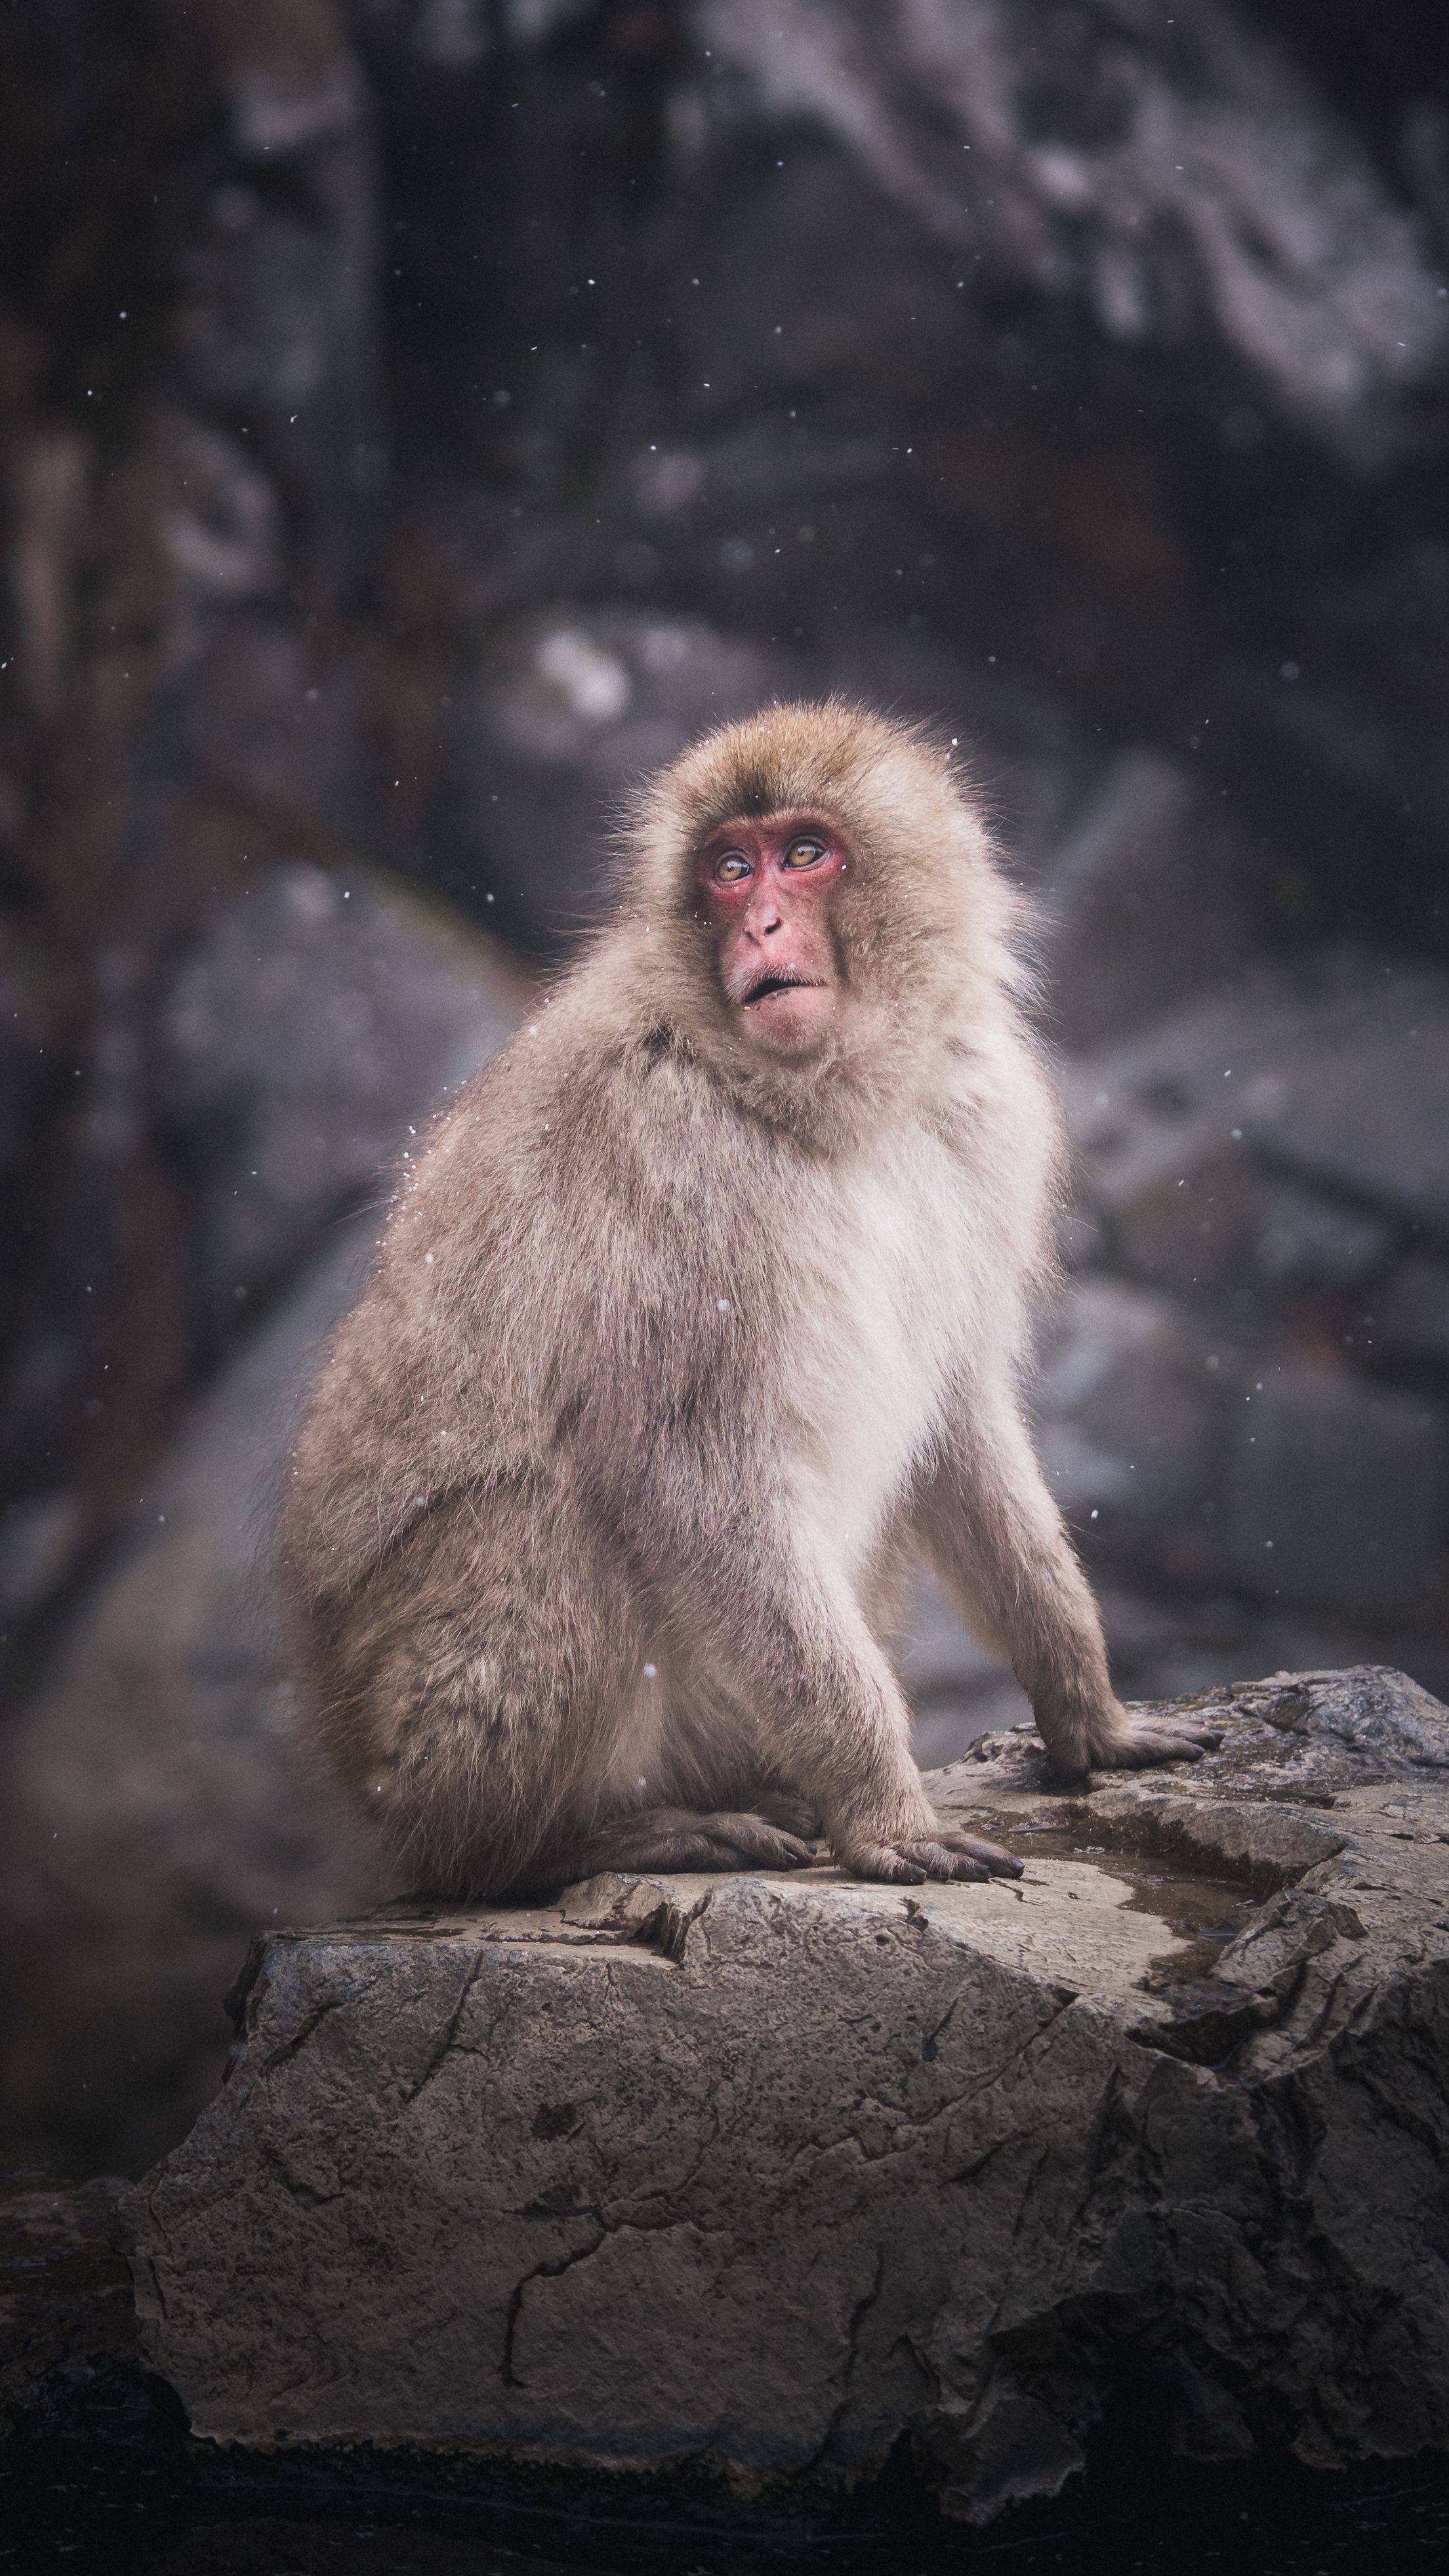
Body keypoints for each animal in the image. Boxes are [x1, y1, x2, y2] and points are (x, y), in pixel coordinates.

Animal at [281, 702, 1221, 1901]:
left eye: (803, 853)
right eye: (729, 869)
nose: (762, 922)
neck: (830, 1098)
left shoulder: (981, 1111)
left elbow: (960, 1425)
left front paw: (1090, 1715)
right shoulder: (670, 1162)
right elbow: (691, 1478)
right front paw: (884, 1809)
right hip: (417, 1745)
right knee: (561, 1521)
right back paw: (566, 1845)